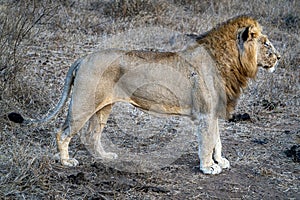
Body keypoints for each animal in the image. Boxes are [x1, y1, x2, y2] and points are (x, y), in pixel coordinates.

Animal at [9, 16, 282, 174]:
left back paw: (105, 157)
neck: (232, 63)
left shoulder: (213, 111)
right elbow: (207, 141)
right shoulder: (205, 113)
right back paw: (66, 163)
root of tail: (83, 57)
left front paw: (221, 161)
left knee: (91, 136)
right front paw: (208, 168)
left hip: (103, 107)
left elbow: (217, 140)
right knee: (63, 132)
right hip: (83, 104)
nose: (279, 57)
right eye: (266, 43)